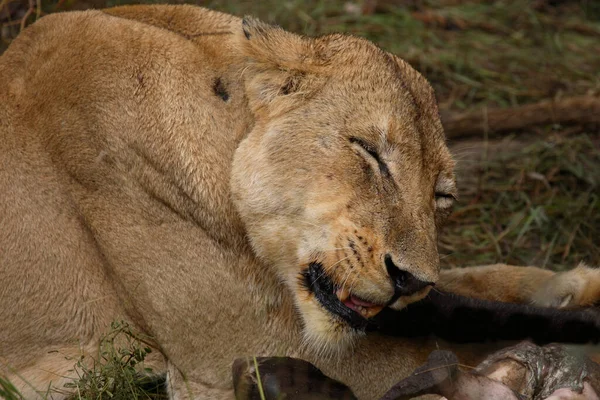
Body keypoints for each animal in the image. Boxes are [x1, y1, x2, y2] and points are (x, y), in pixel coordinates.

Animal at [0, 3, 596, 400]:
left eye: (441, 194)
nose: (410, 281)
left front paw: (572, 285)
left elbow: (475, 281)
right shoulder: (243, 349)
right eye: (370, 153)